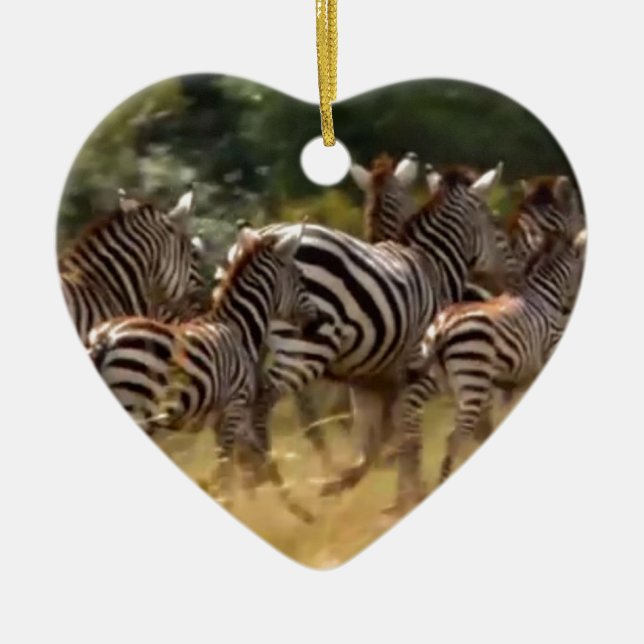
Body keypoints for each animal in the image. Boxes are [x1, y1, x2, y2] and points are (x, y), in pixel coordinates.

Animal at [87, 223, 322, 520]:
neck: (238, 329)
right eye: (301, 276)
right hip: (136, 402)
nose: (316, 322)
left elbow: (250, 460)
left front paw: (296, 510)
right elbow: (228, 468)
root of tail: (105, 338)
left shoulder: (221, 415)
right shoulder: (234, 406)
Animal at [220, 162, 508, 511]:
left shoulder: (369, 381)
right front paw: (404, 495)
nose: (503, 283)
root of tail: (257, 238)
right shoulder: (416, 372)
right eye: (495, 221)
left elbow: (376, 440)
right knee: (264, 406)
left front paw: (351, 484)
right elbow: (405, 435)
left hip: (248, 342)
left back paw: (249, 489)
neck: (433, 266)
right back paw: (274, 484)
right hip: (306, 347)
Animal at [413, 224, 586, 485]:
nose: (571, 307)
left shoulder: (509, 381)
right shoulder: (547, 353)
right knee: (456, 437)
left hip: (451, 384)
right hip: (473, 380)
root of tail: (442, 326)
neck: (545, 296)